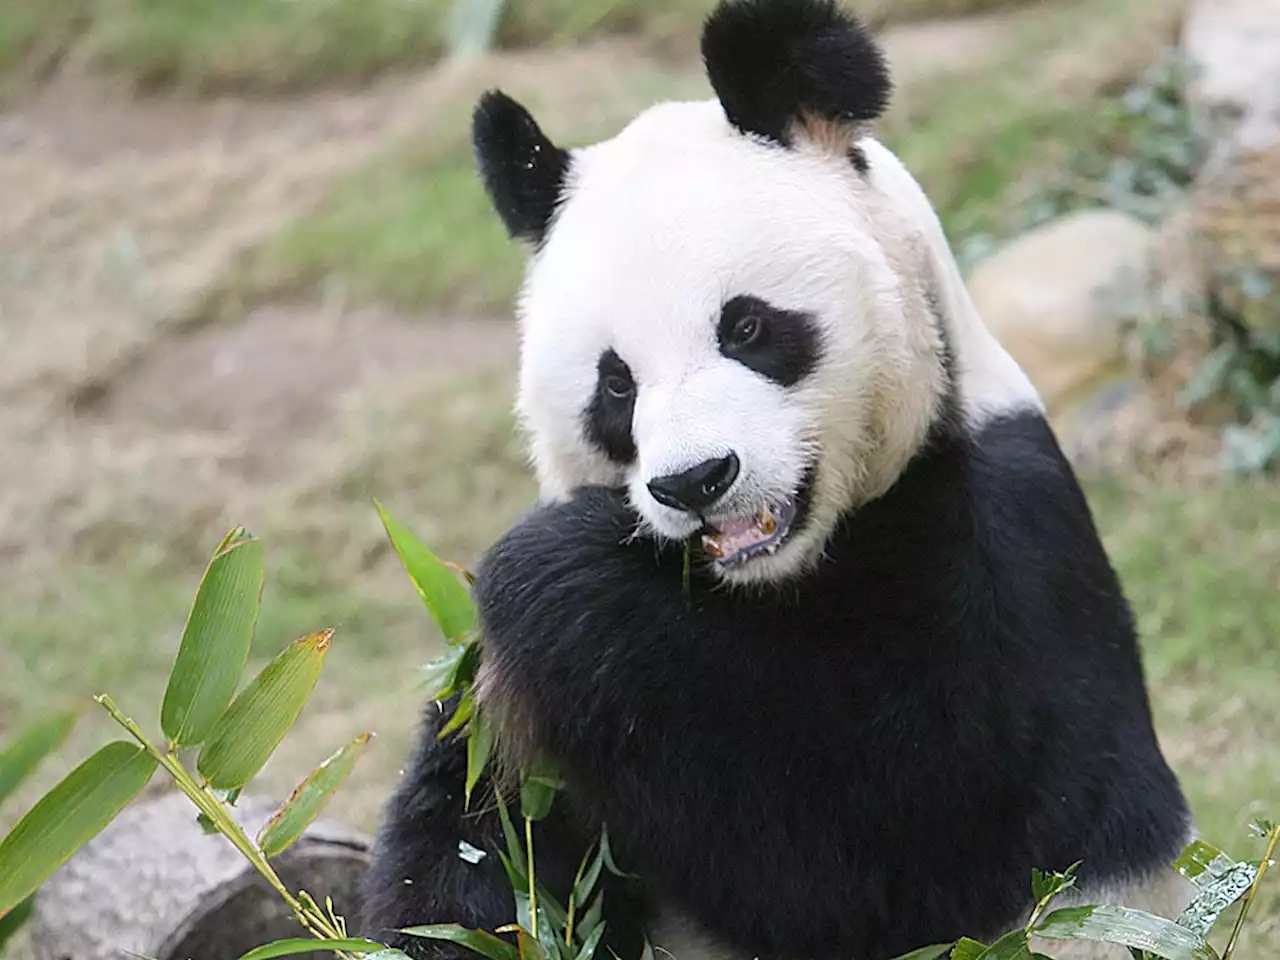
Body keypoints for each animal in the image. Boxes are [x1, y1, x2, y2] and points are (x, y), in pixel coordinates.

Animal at [363, 1, 1198, 960]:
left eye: (749, 327)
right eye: (616, 385)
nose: (696, 481)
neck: (771, 581)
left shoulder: (1006, 554)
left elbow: (880, 843)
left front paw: (551, 571)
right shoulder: (500, 720)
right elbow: (473, 847)